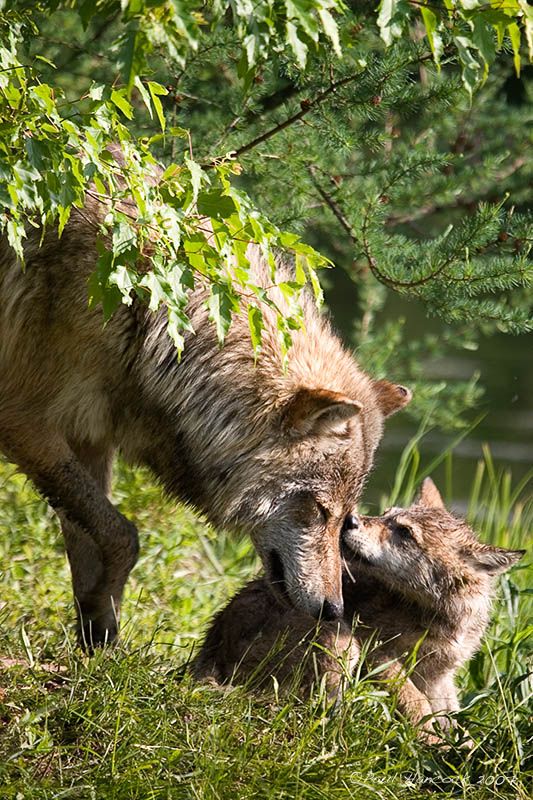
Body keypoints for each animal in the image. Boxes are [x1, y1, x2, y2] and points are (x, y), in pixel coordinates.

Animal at [0, 202, 412, 648]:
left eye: (345, 518)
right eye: (319, 511)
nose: (334, 609)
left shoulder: (88, 435)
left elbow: (87, 542)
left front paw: (97, 636)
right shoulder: (24, 422)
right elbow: (123, 536)